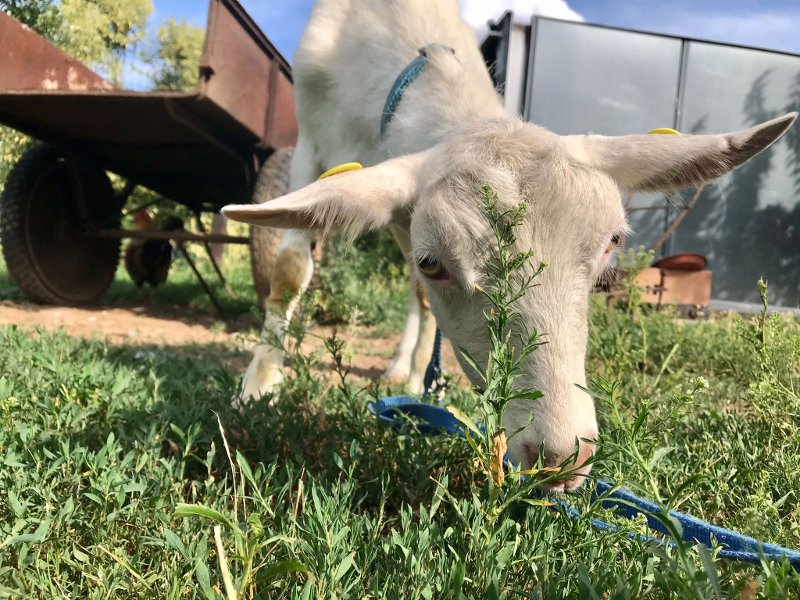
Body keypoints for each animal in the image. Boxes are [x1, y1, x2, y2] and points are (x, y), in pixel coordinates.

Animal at [222, 0, 796, 492]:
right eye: (435, 262)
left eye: (612, 243)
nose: (562, 457)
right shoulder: (313, 143)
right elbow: (291, 269)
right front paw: (258, 386)